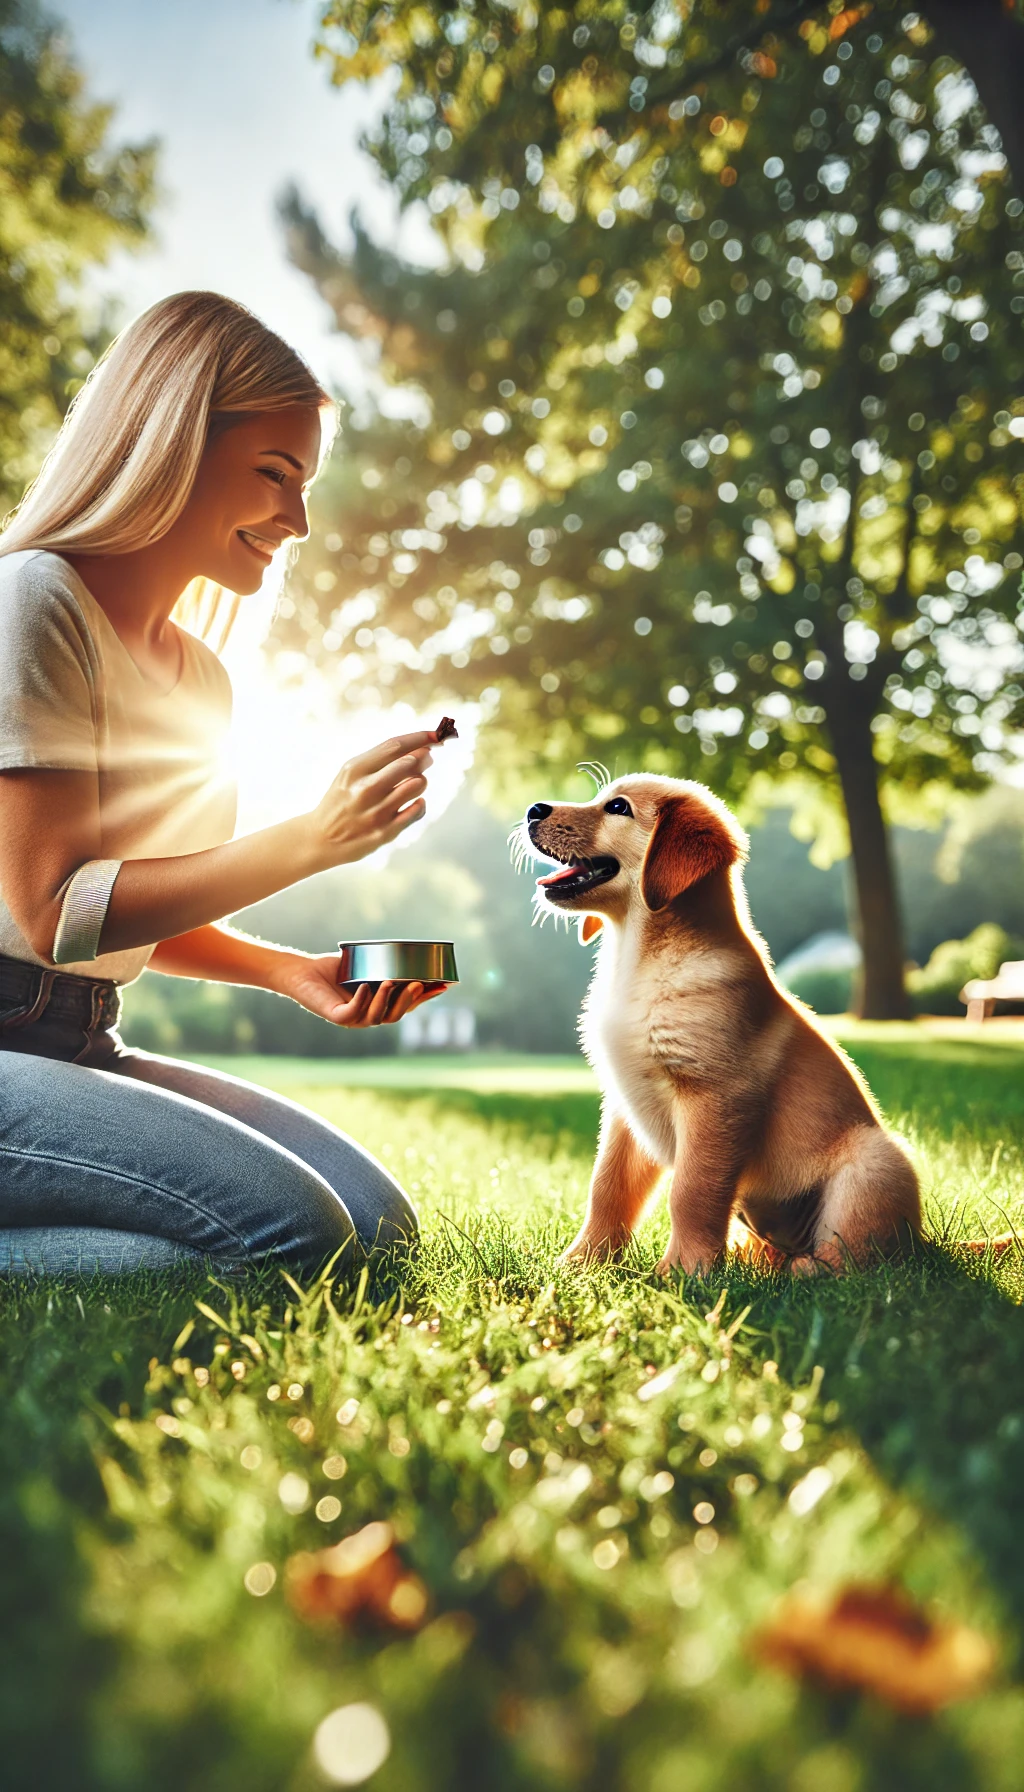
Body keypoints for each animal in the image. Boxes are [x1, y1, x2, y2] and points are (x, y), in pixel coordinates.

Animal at [520, 774, 918, 1275]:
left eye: (618, 807)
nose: (533, 809)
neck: (638, 960)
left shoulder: (717, 1097)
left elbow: (691, 1192)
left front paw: (683, 1272)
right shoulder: (626, 1105)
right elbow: (607, 1187)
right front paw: (582, 1263)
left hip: (877, 1161)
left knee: (860, 1253)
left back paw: (807, 1271)